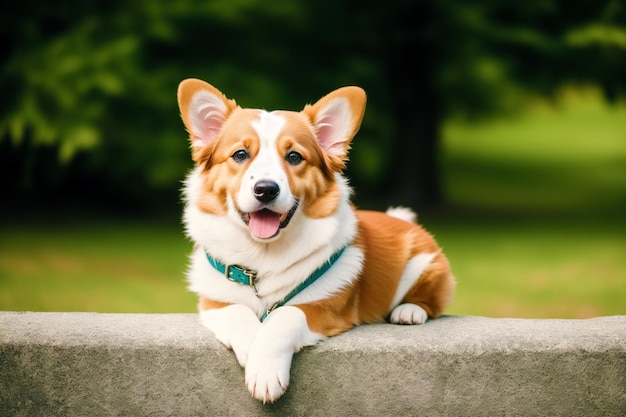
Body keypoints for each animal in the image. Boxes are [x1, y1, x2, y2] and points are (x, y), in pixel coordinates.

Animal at [176, 79, 454, 404]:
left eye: (294, 157)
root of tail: (405, 221)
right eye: (240, 155)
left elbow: (284, 317)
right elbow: (239, 313)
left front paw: (265, 370)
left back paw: (408, 311)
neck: (264, 255)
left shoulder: (323, 307)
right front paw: (252, 347)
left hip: (426, 264)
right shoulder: (216, 302)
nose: (266, 190)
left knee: (430, 300)